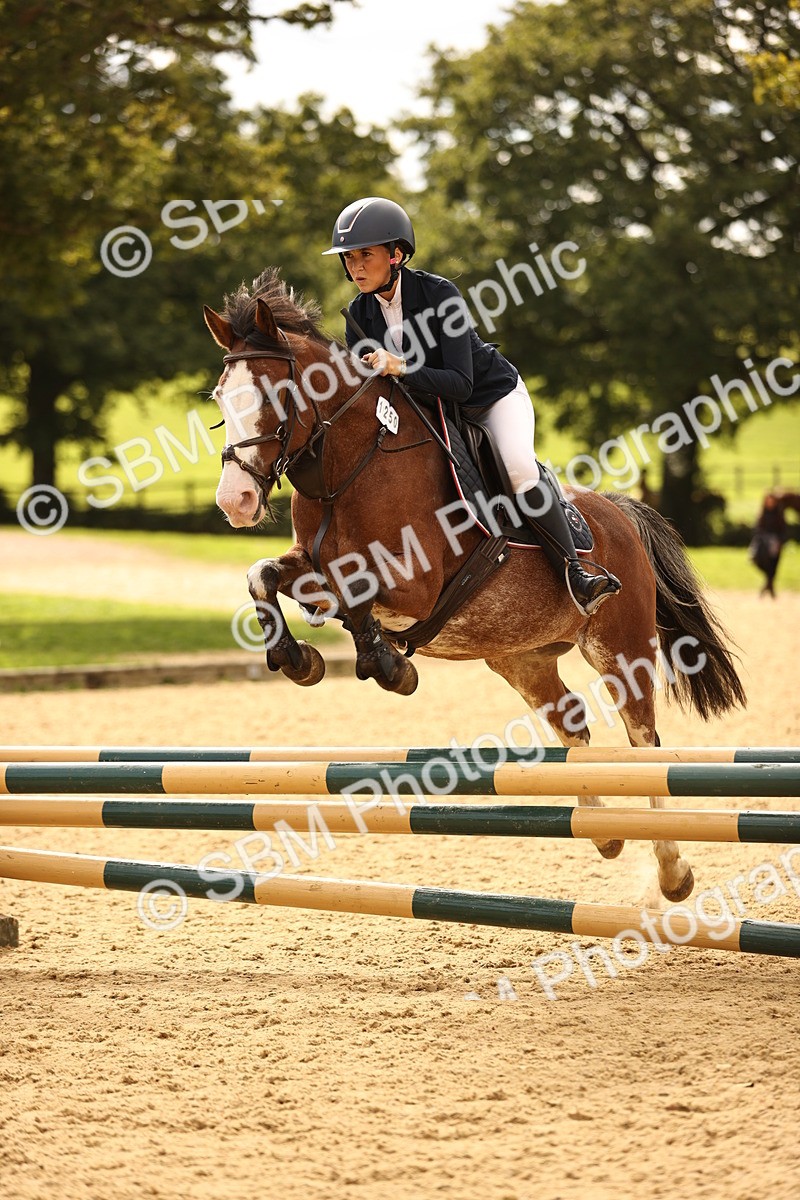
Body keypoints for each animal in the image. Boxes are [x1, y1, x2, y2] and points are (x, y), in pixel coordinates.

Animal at [203, 268, 746, 903]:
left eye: (273, 395)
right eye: (220, 399)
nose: (235, 501)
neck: (353, 465)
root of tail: (619, 512)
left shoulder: (412, 587)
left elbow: (355, 594)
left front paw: (390, 666)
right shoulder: (309, 564)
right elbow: (263, 575)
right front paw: (299, 658)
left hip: (623, 646)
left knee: (644, 741)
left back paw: (673, 871)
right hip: (521, 657)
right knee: (573, 722)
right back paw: (603, 832)